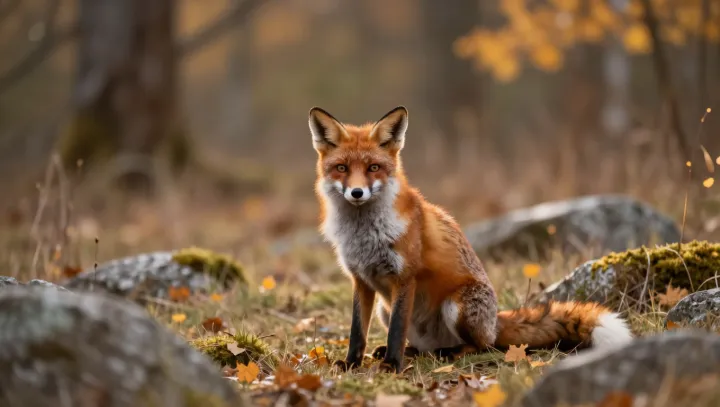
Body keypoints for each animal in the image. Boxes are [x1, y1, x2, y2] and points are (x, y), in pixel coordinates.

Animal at [308, 106, 634, 373]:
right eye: (342, 168)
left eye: (373, 168)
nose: (357, 193)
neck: (363, 235)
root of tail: (495, 322)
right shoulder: (361, 280)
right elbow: (357, 332)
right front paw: (352, 364)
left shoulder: (404, 277)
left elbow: (397, 331)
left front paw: (391, 366)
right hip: (383, 310)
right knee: (421, 346)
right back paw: (413, 352)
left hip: (457, 306)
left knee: (482, 346)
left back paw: (449, 352)